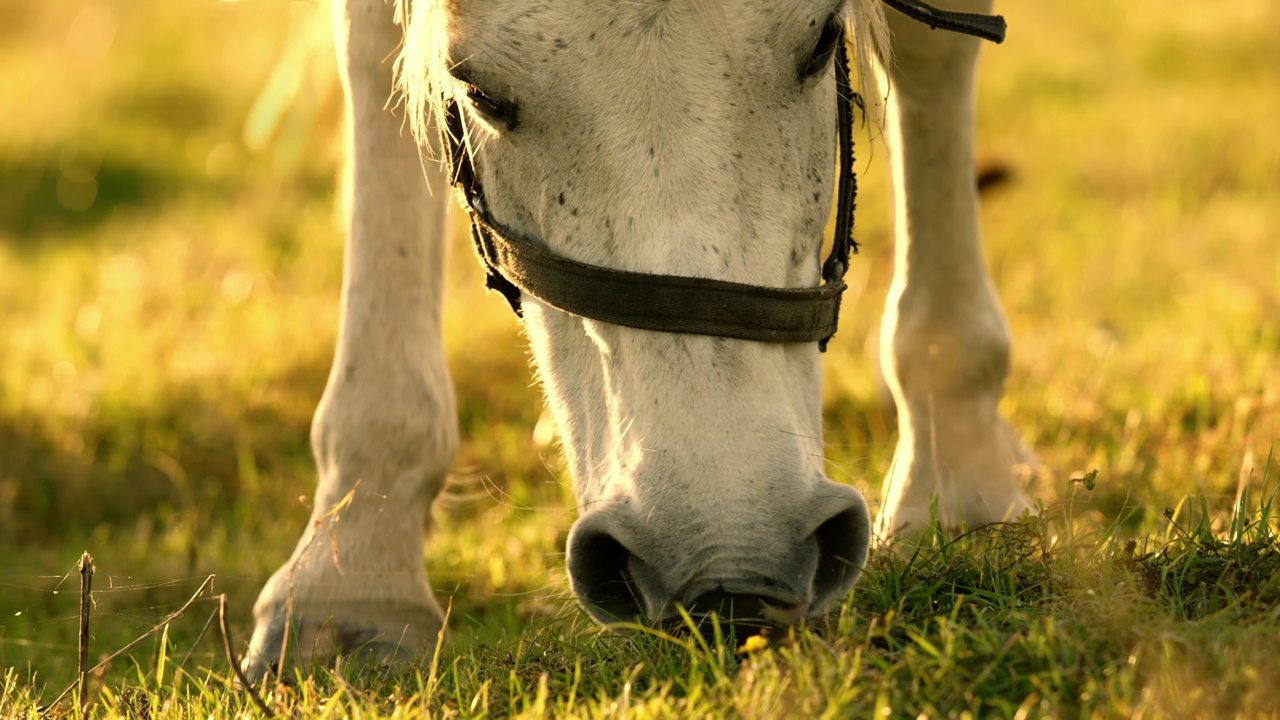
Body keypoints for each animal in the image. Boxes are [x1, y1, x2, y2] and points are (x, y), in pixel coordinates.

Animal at [244, 0, 1034, 671]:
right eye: (477, 90)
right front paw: (351, 570)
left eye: (819, 42)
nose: (730, 567)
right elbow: (374, 55)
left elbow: (935, 46)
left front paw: (959, 476)